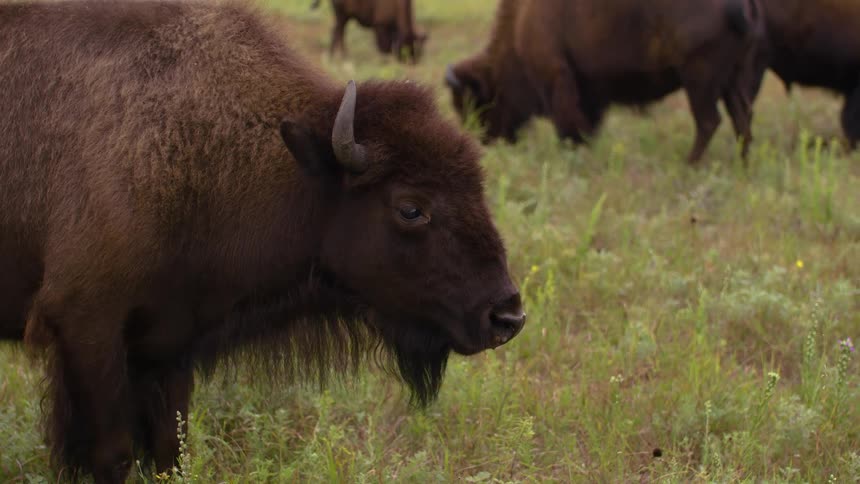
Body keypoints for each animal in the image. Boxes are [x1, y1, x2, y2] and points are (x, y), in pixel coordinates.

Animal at [0, 1, 524, 482]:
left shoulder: (167, 344)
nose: (507, 317)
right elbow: (112, 452)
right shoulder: (86, 325)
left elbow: (170, 449)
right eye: (411, 207)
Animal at [445, 0, 765, 163]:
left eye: (475, 102)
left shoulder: (556, 78)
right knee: (742, 120)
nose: (485, 141)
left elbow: (568, 123)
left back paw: (689, 163)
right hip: (733, 79)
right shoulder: (589, 92)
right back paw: (743, 163)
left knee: (709, 121)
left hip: (699, 79)